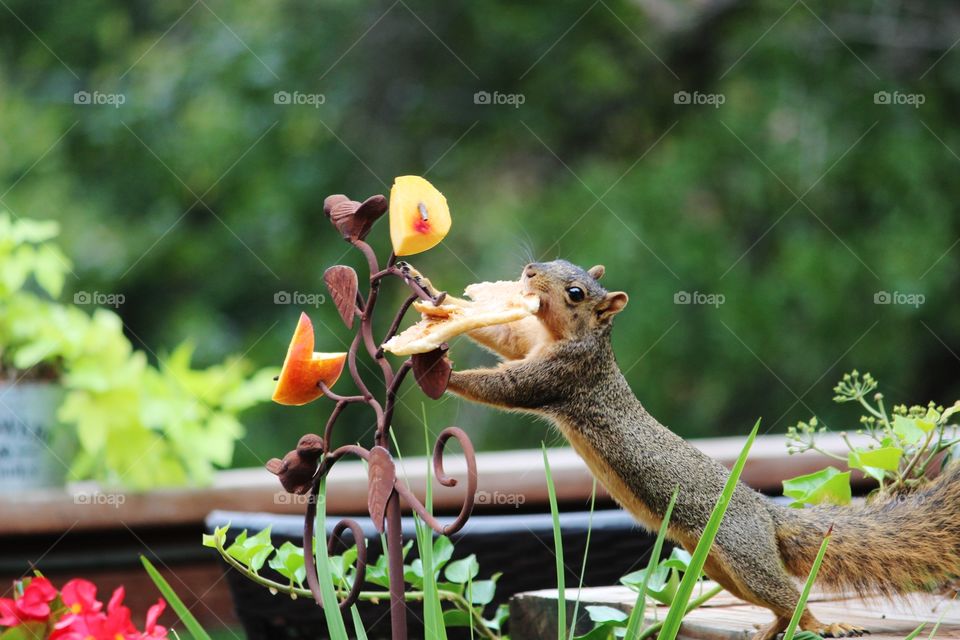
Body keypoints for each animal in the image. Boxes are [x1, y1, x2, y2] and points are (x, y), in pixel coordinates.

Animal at [421, 259, 960, 640]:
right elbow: (505, 336)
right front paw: (438, 302)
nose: (530, 270)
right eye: (553, 259)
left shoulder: (564, 376)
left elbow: (507, 386)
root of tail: (766, 513)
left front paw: (445, 371)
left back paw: (822, 624)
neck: (580, 339)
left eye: (576, 292)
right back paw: (773, 628)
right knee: (778, 600)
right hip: (722, 567)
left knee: (786, 593)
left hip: (744, 554)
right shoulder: (530, 344)